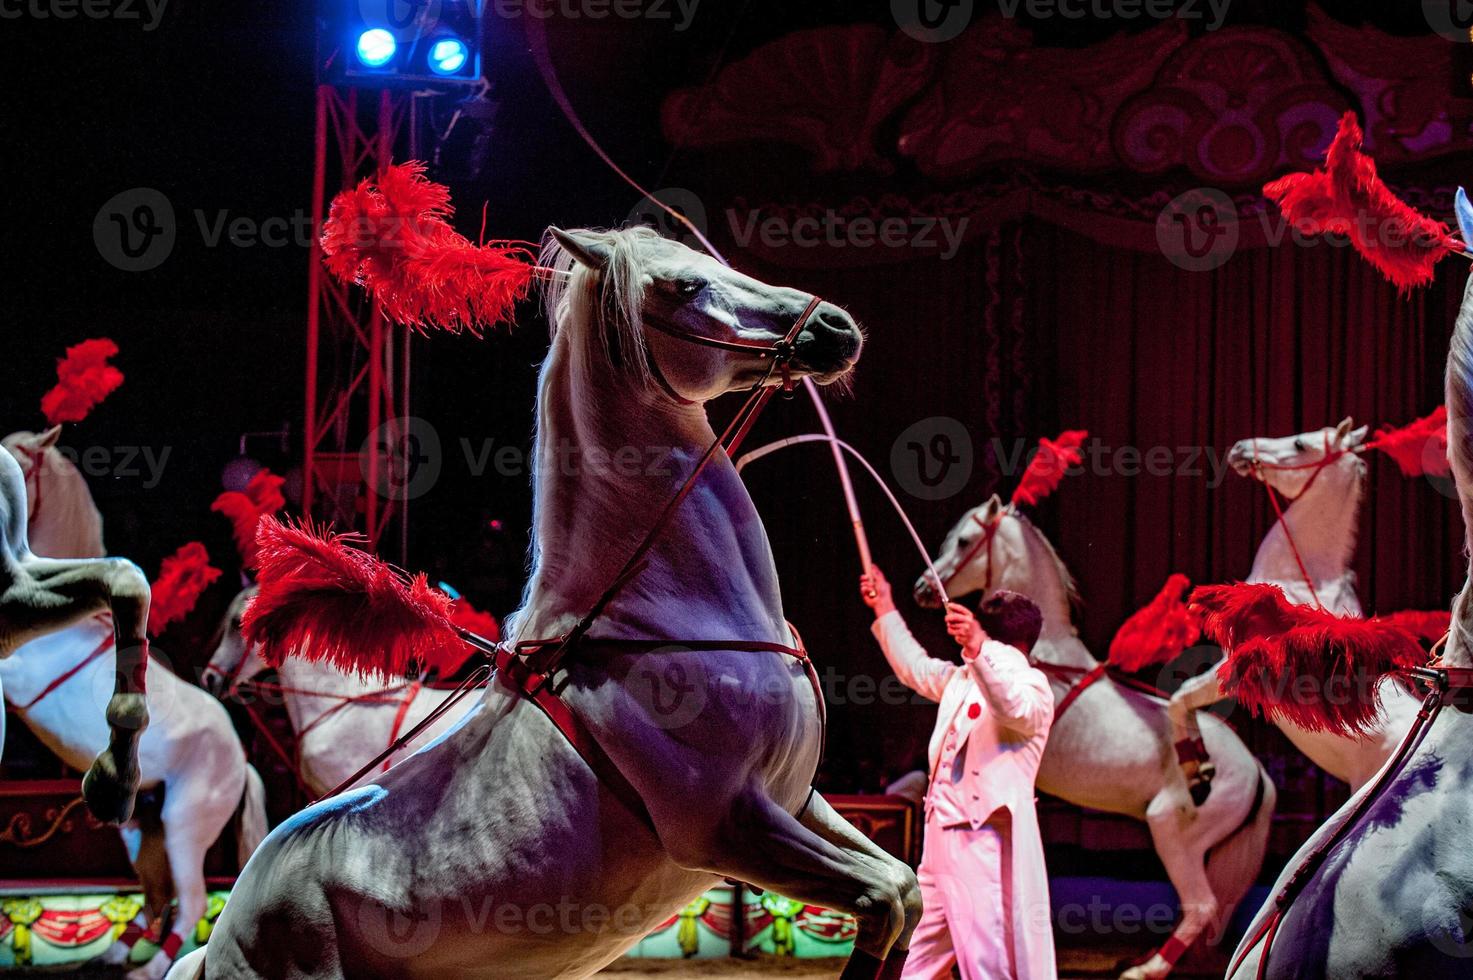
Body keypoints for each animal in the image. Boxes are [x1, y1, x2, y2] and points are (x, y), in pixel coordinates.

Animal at [2, 436, 266, 978]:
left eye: (20, 459)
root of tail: (241, 762)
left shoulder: (19, 670)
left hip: (185, 825)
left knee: (188, 899)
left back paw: (150, 966)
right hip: (145, 827)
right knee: (155, 894)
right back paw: (114, 951)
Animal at [913, 498, 1272, 978]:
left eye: (965, 541)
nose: (922, 589)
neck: (1046, 656)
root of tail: (1256, 771)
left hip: (1172, 831)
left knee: (1201, 905)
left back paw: (1145, 968)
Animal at [1166, 415, 1419, 789]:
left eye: (1300, 444)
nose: (1240, 448)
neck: (1298, 578)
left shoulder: (1234, 664)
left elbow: (1181, 695)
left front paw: (1196, 766)